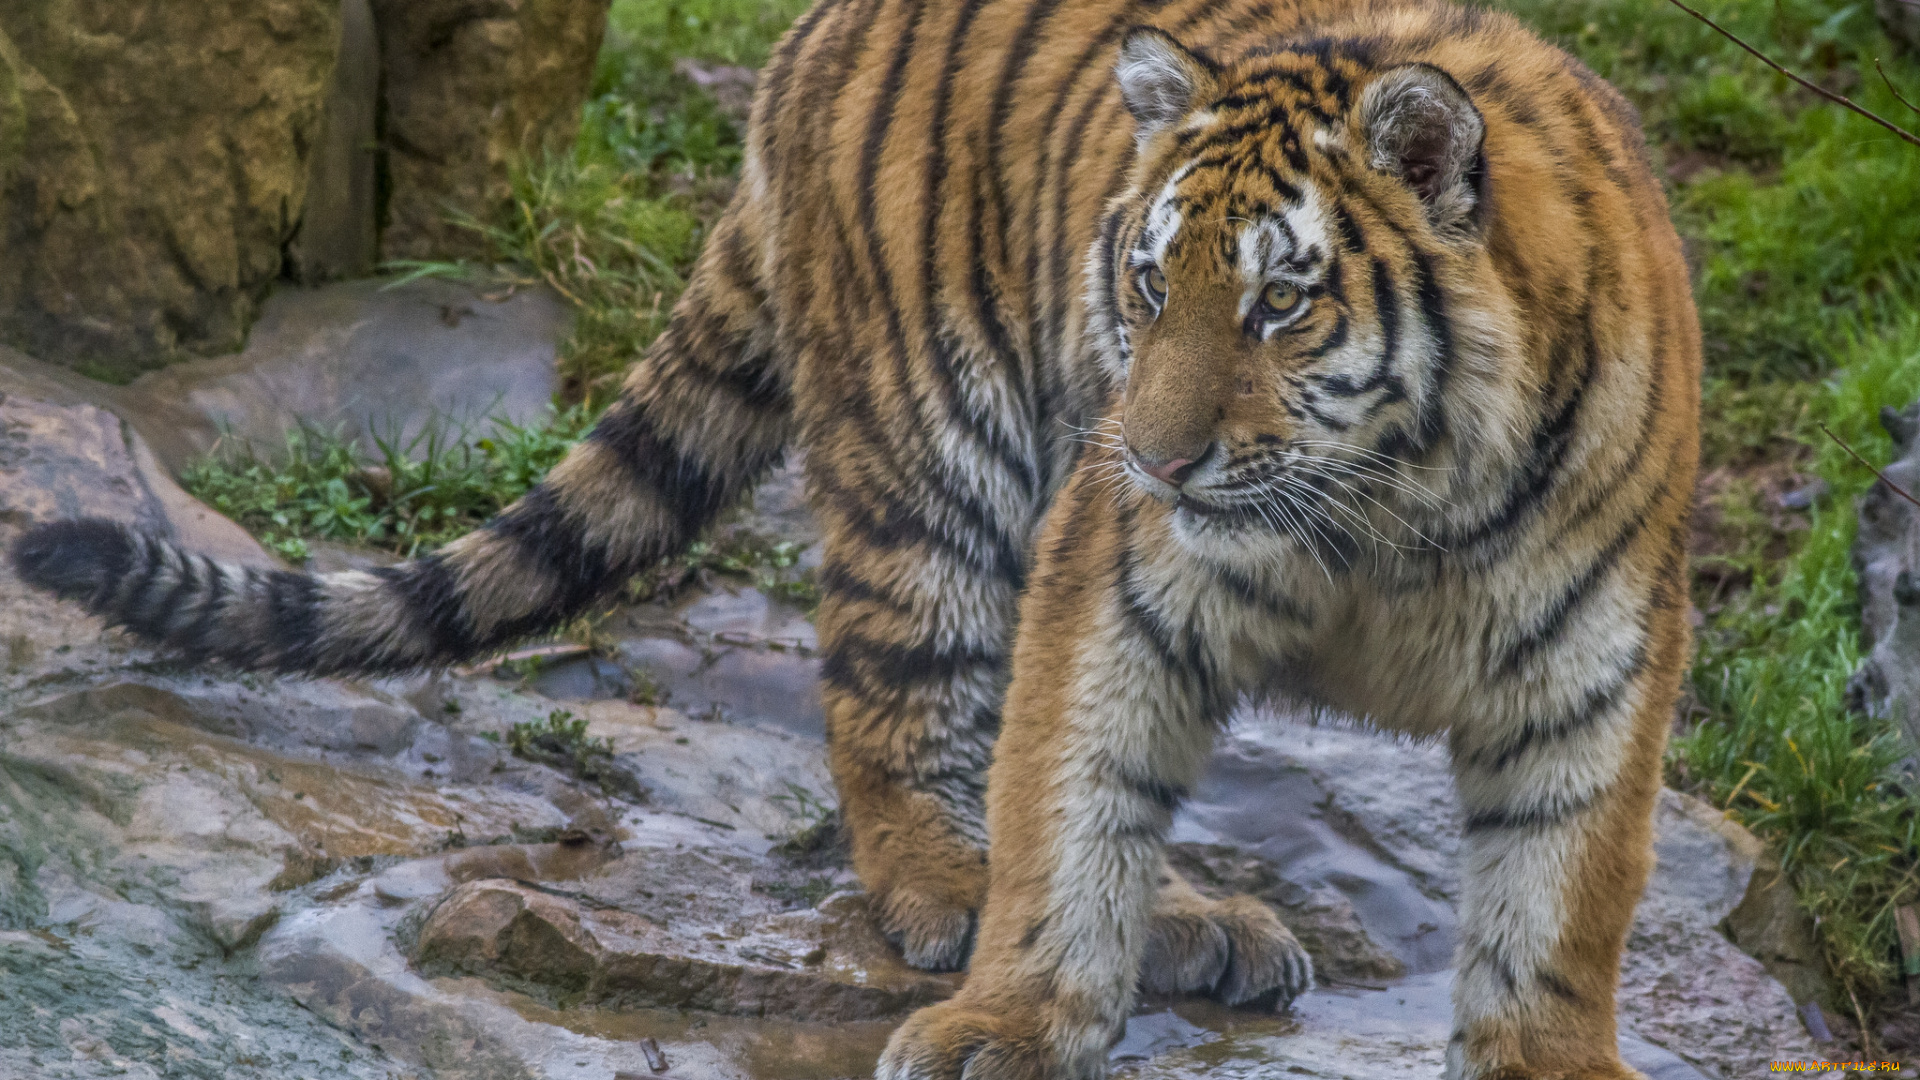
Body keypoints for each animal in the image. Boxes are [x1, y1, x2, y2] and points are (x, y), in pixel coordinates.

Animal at [13, 0, 1699, 1074]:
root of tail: (808, 33)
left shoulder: (1599, 654)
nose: (1151, 457)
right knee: (898, 719)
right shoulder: (1119, 570)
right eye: (1154, 285)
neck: (1393, 512)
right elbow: (1070, 799)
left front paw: (1548, 1055)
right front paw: (1011, 1023)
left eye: (1282, 302)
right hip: (933, 455)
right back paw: (1002, 897)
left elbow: (1563, 897)